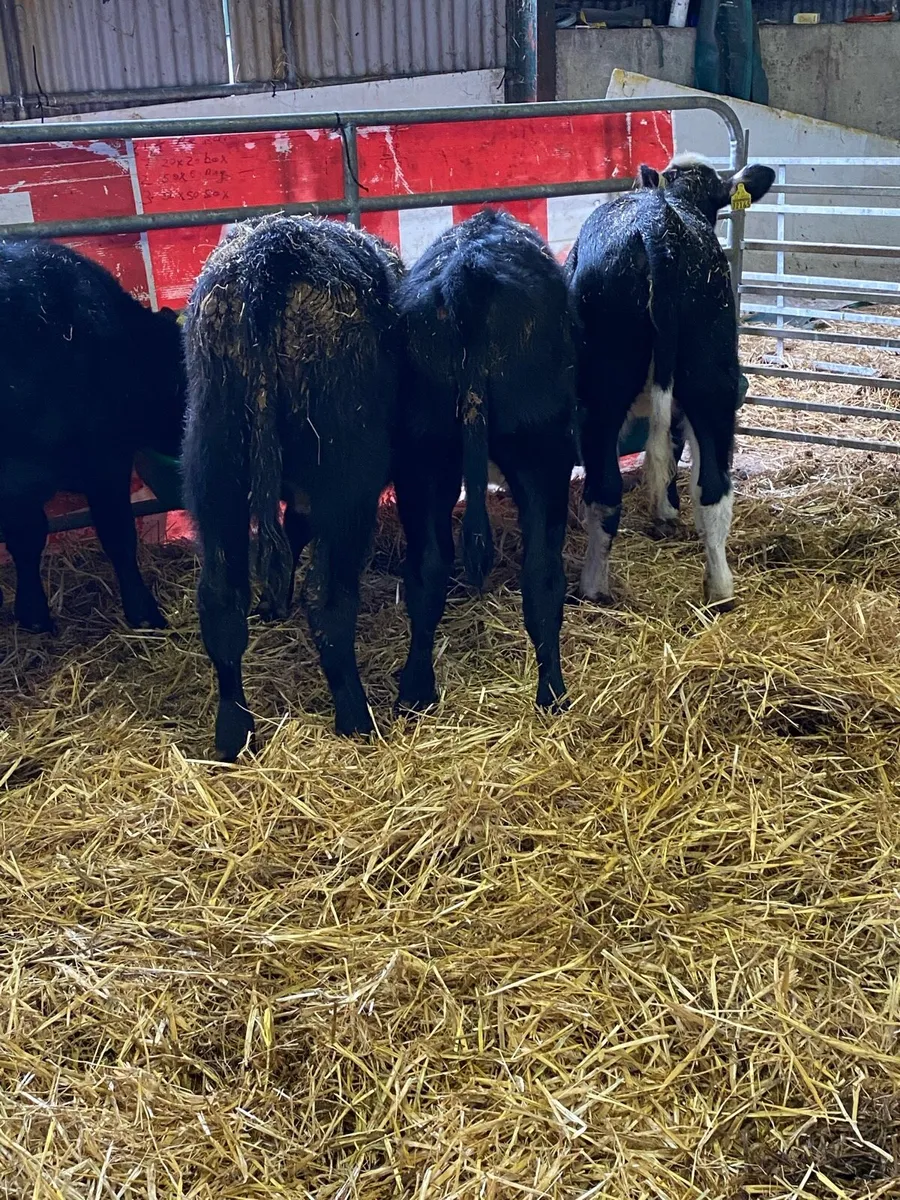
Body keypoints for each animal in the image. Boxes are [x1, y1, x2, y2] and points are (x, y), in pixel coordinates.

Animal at [182, 215, 403, 761]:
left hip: (214, 466)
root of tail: (271, 252)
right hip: (346, 478)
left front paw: (271, 601)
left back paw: (233, 734)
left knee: (221, 601)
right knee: (327, 601)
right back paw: (356, 718)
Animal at [394, 208, 578, 714]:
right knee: (541, 574)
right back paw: (553, 693)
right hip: (542, 452)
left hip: (423, 455)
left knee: (427, 569)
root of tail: (469, 272)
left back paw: (415, 692)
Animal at [568, 154, 775, 609]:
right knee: (713, 486)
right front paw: (666, 512)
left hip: (603, 390)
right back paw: (720, 590)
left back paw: (593, 586)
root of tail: (660, 227)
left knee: (604, 490)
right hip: (712, 377)